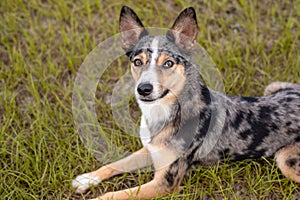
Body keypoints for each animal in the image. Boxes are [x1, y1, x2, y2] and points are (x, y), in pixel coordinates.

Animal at [72, 5, 300, 199]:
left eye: (168, 63)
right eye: (137, 62)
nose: (143, 89)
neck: (165, 112)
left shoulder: (165, 182)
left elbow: (115, 194)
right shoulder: (150, 149)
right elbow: (116, 163)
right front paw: (87, 178)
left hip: (286, 161)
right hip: (272, 87)